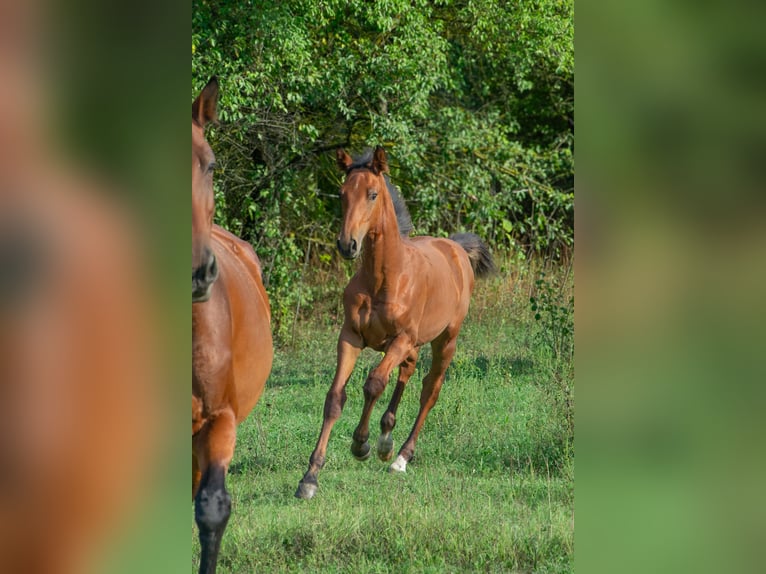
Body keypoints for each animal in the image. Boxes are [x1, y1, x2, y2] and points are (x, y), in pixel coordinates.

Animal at [296, 147, 496, 500]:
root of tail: (456, 248)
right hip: (408, 345)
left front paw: (360, 444)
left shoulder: (401, 338)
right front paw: (310, 477)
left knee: (430, 389)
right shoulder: (351, 337)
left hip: (446, 339)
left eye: (373, 194)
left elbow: (374, 383)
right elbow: (335, 398)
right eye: (342, 194)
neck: (385, 278)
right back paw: (387, 439)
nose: (347, 245)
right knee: (408, 370)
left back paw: (400, 456)